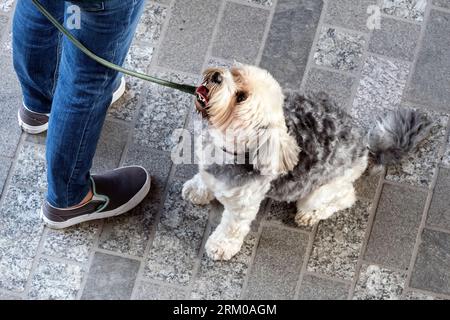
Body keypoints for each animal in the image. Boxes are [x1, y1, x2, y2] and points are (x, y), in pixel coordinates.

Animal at [182, 64, 428, 260]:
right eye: (235, 72)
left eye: (241, 97)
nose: (216, 75)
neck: (227, 149)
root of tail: (365, 146)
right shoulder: (208, 170)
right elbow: (204, 180)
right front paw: (197, 191)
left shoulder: (243, 208)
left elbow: (231, 229)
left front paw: (220, 247)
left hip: (322, 190)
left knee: (345, 197)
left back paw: (310, 214)